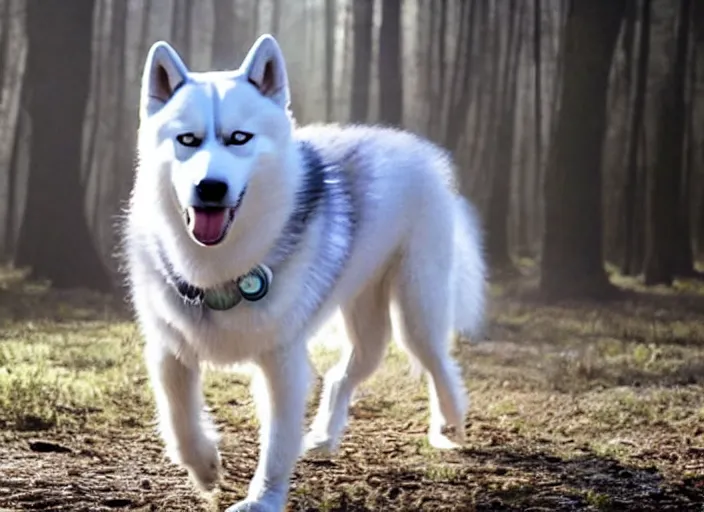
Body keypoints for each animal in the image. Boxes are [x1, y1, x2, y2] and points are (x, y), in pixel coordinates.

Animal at [124, 34, 486, 510]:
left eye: (239, 138)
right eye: (187, 139)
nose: (210, 188)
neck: (217, 269)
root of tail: (418, 149)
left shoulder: (284, 363)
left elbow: (278, 444)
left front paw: (263, 500)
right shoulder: (170, 351)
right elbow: (179, 418)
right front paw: (204, 468)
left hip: (415, 310)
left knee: (439, 361)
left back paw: (449, 425)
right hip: (365, 320)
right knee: (343, 375)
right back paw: (324, 438)